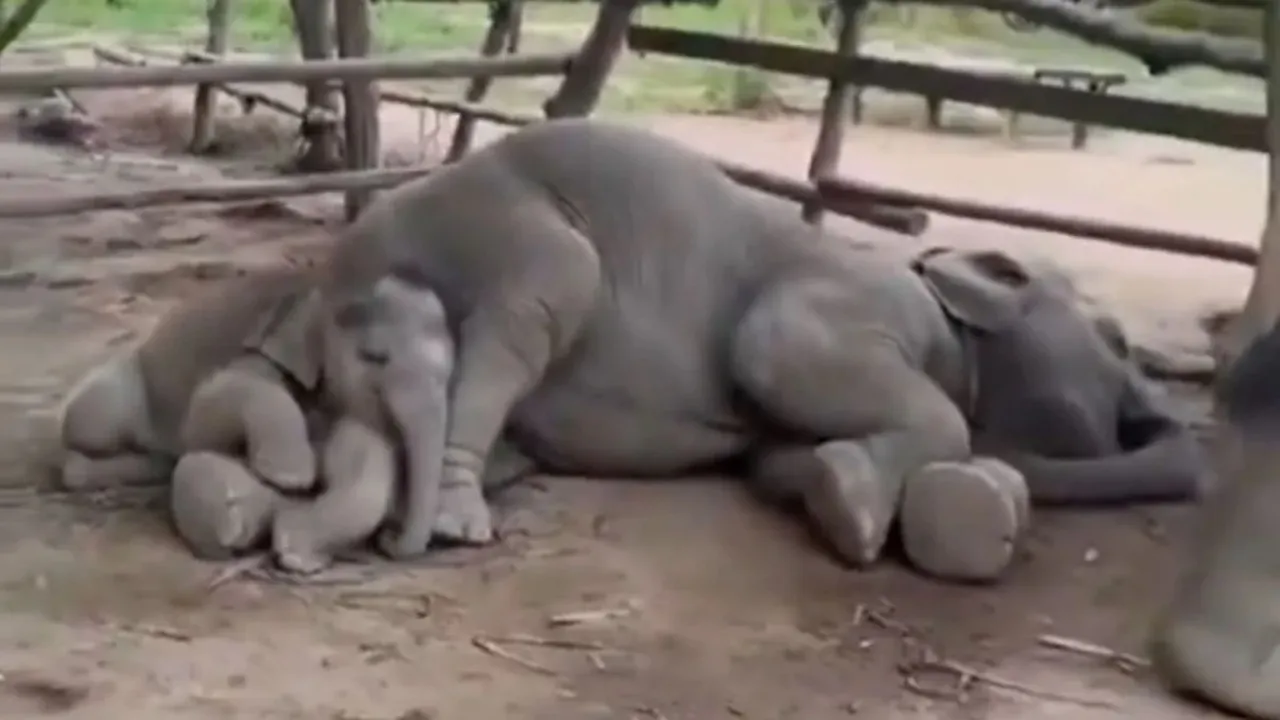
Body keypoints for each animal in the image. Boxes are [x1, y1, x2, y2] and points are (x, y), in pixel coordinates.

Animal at [272, 118, 1206, 583]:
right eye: (1117, 339)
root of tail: (342, 262)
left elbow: (777, 462)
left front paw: (833, 488)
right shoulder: (853, 303)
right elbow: (779, 353)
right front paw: (857, 519)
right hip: (507, 232)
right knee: (535, 306)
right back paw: (461, 526)